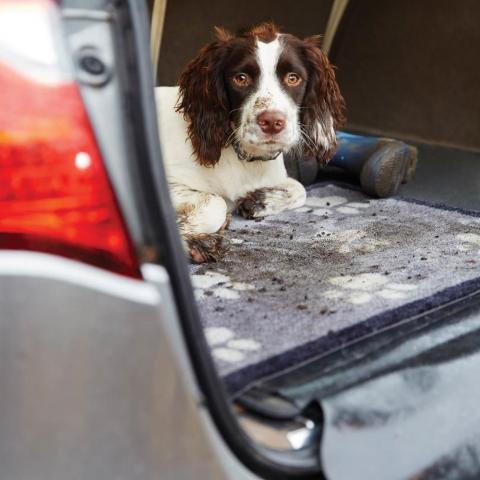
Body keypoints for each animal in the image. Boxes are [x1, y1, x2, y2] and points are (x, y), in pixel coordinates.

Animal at [157, 22, 344, 262]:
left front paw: (260, 200)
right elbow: (215, 203)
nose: (272, 122)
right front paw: (194, 241)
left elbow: (299, 188)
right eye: (241, 78)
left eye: (293, 78)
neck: (243, 158)